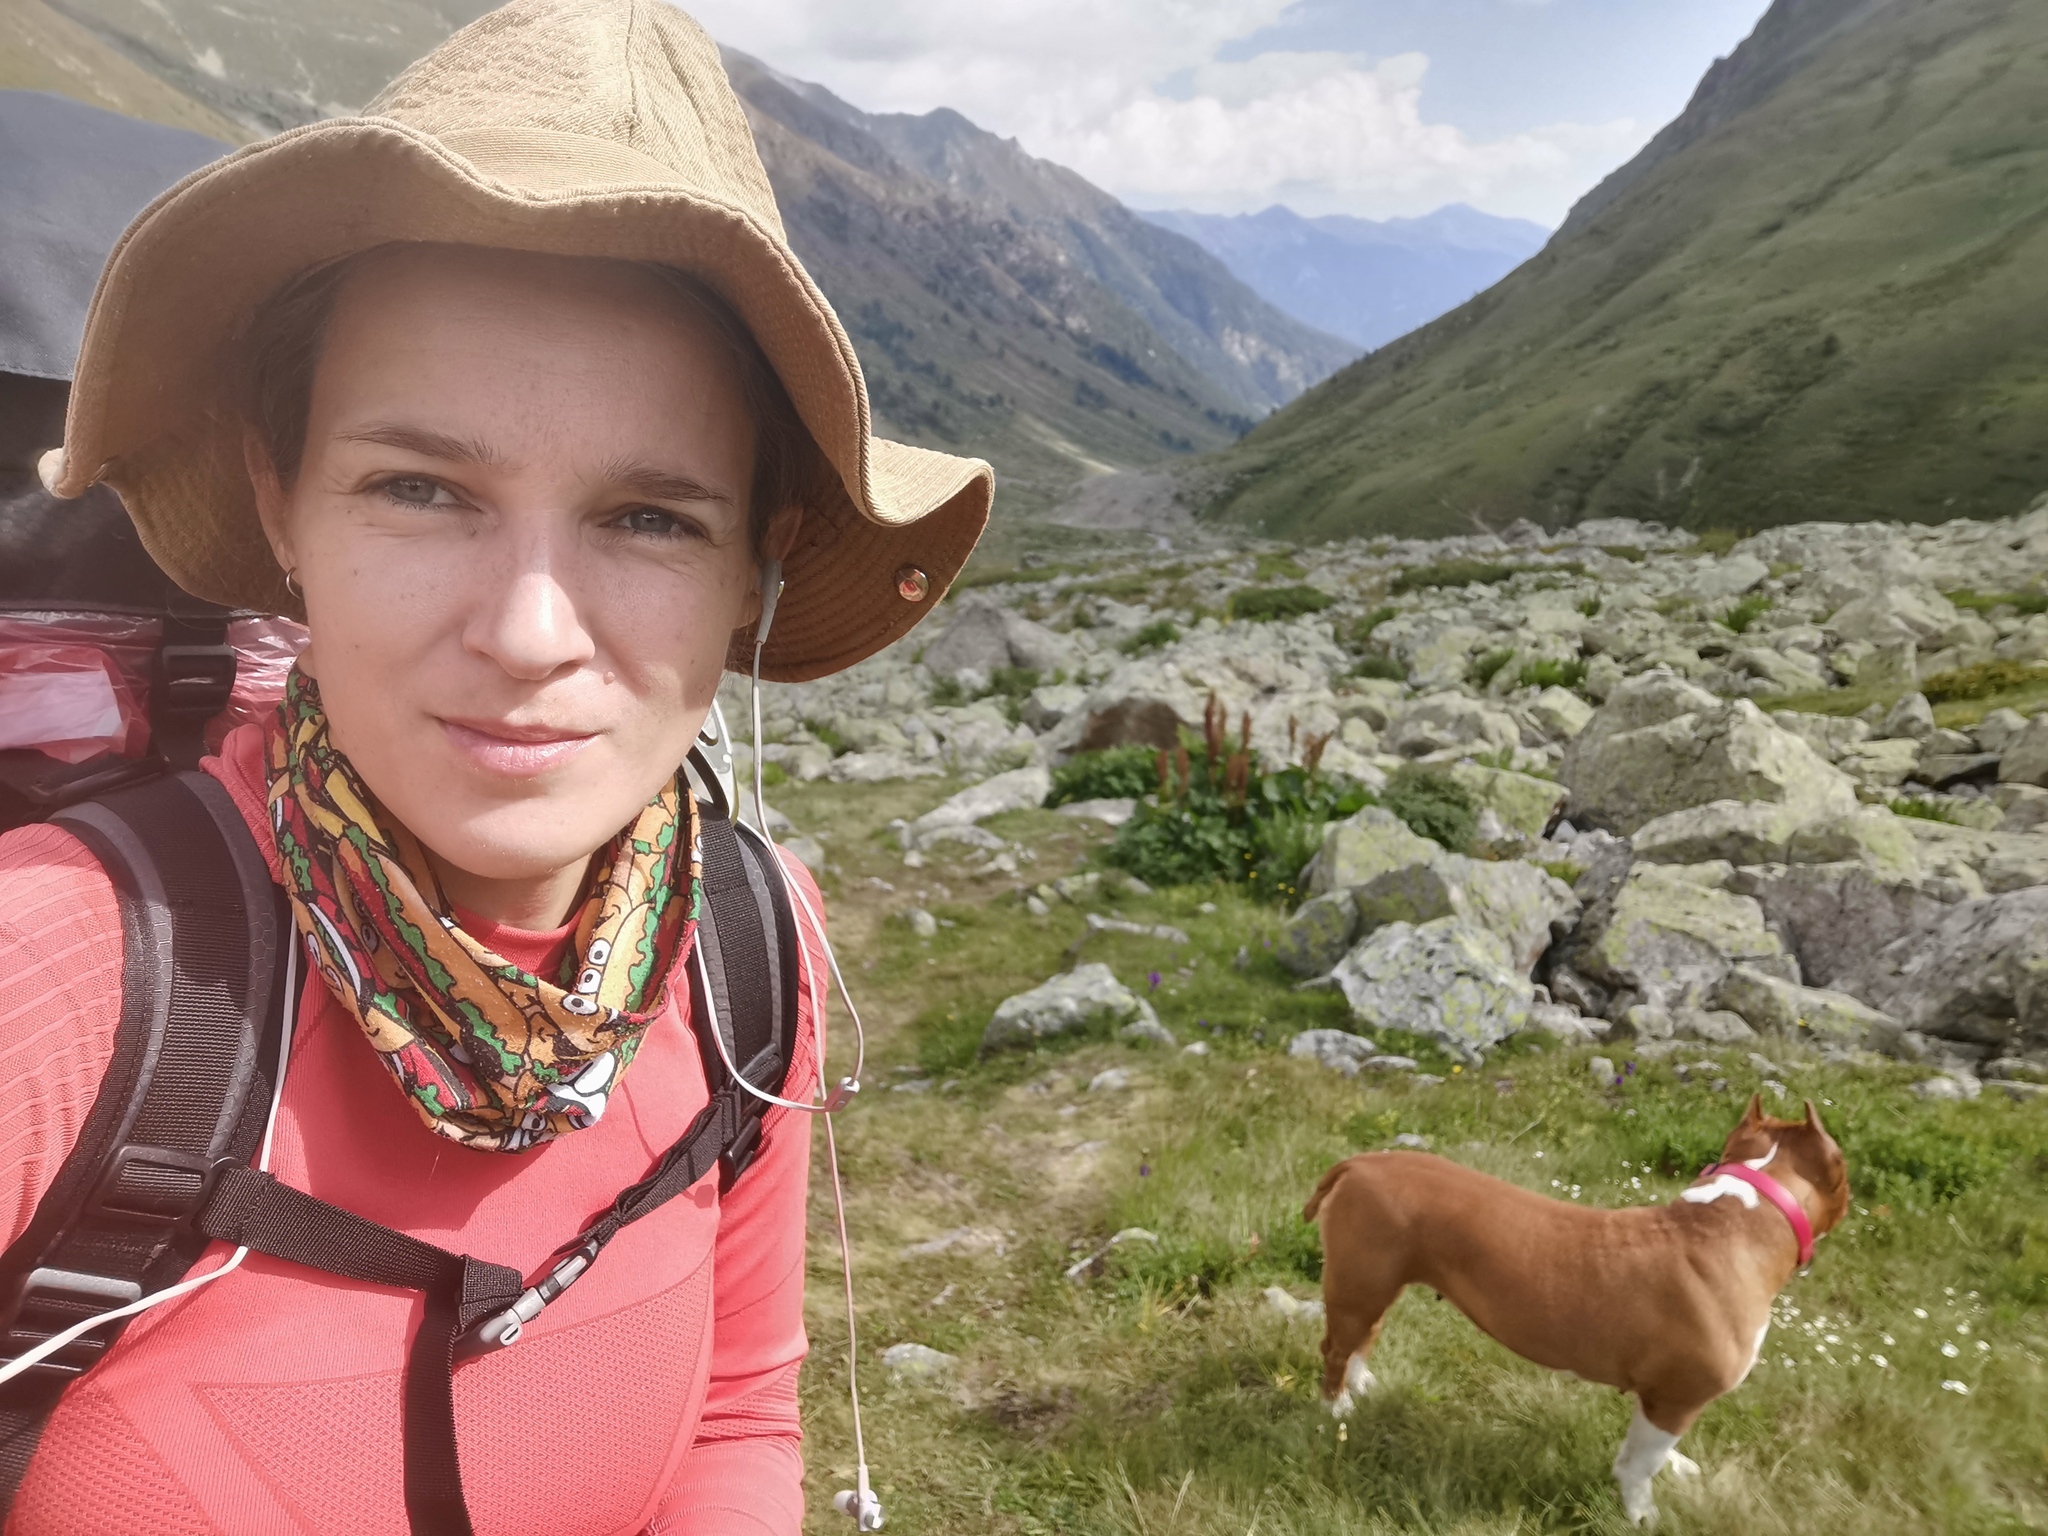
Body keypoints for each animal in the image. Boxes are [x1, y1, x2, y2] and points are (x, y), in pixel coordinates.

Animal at [1310, 1097, 1859, 1523]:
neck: (1740, 1213)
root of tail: (1360, 1163)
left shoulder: (1666, 1398)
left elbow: (1654, 1448)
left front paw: (1674, 1466)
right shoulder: (1679, 1396)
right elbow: (1638, 1465)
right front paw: (1643, 1515)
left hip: (1378, 1285)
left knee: (1363, 1337)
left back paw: (1361, 1384)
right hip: (1359, 1284)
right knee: (1335, 1347)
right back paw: (1336, 1407)